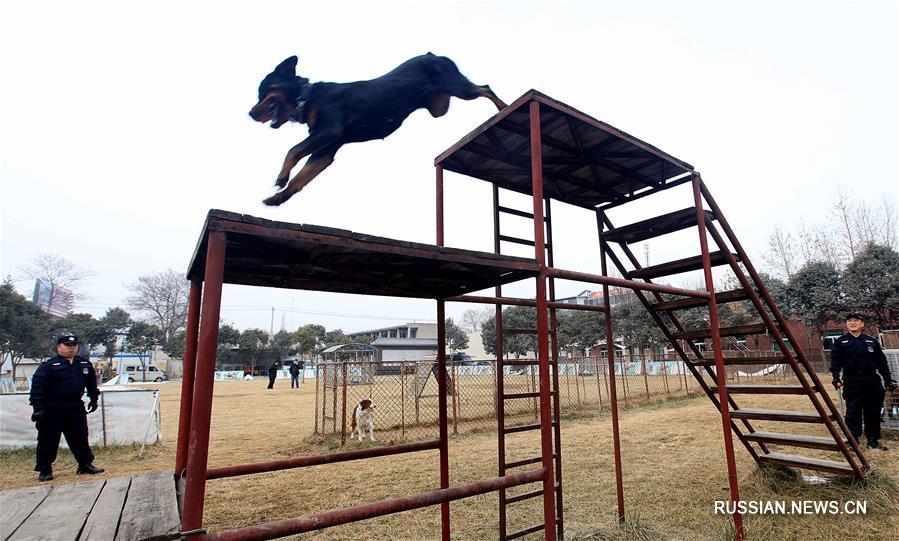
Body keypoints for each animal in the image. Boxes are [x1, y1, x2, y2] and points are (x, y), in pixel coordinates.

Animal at [250, 53, 510, 205]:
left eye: (263, 92)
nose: (250, 114)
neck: (306, 98)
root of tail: (435, 55)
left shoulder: (329, 131)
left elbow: (293, 150)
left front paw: (281, 178)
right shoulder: (327, 149)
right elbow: (302, 178)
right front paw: (279, 198)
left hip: (459, 88)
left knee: (485, 88)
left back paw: (503, 107)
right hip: (440, 106)